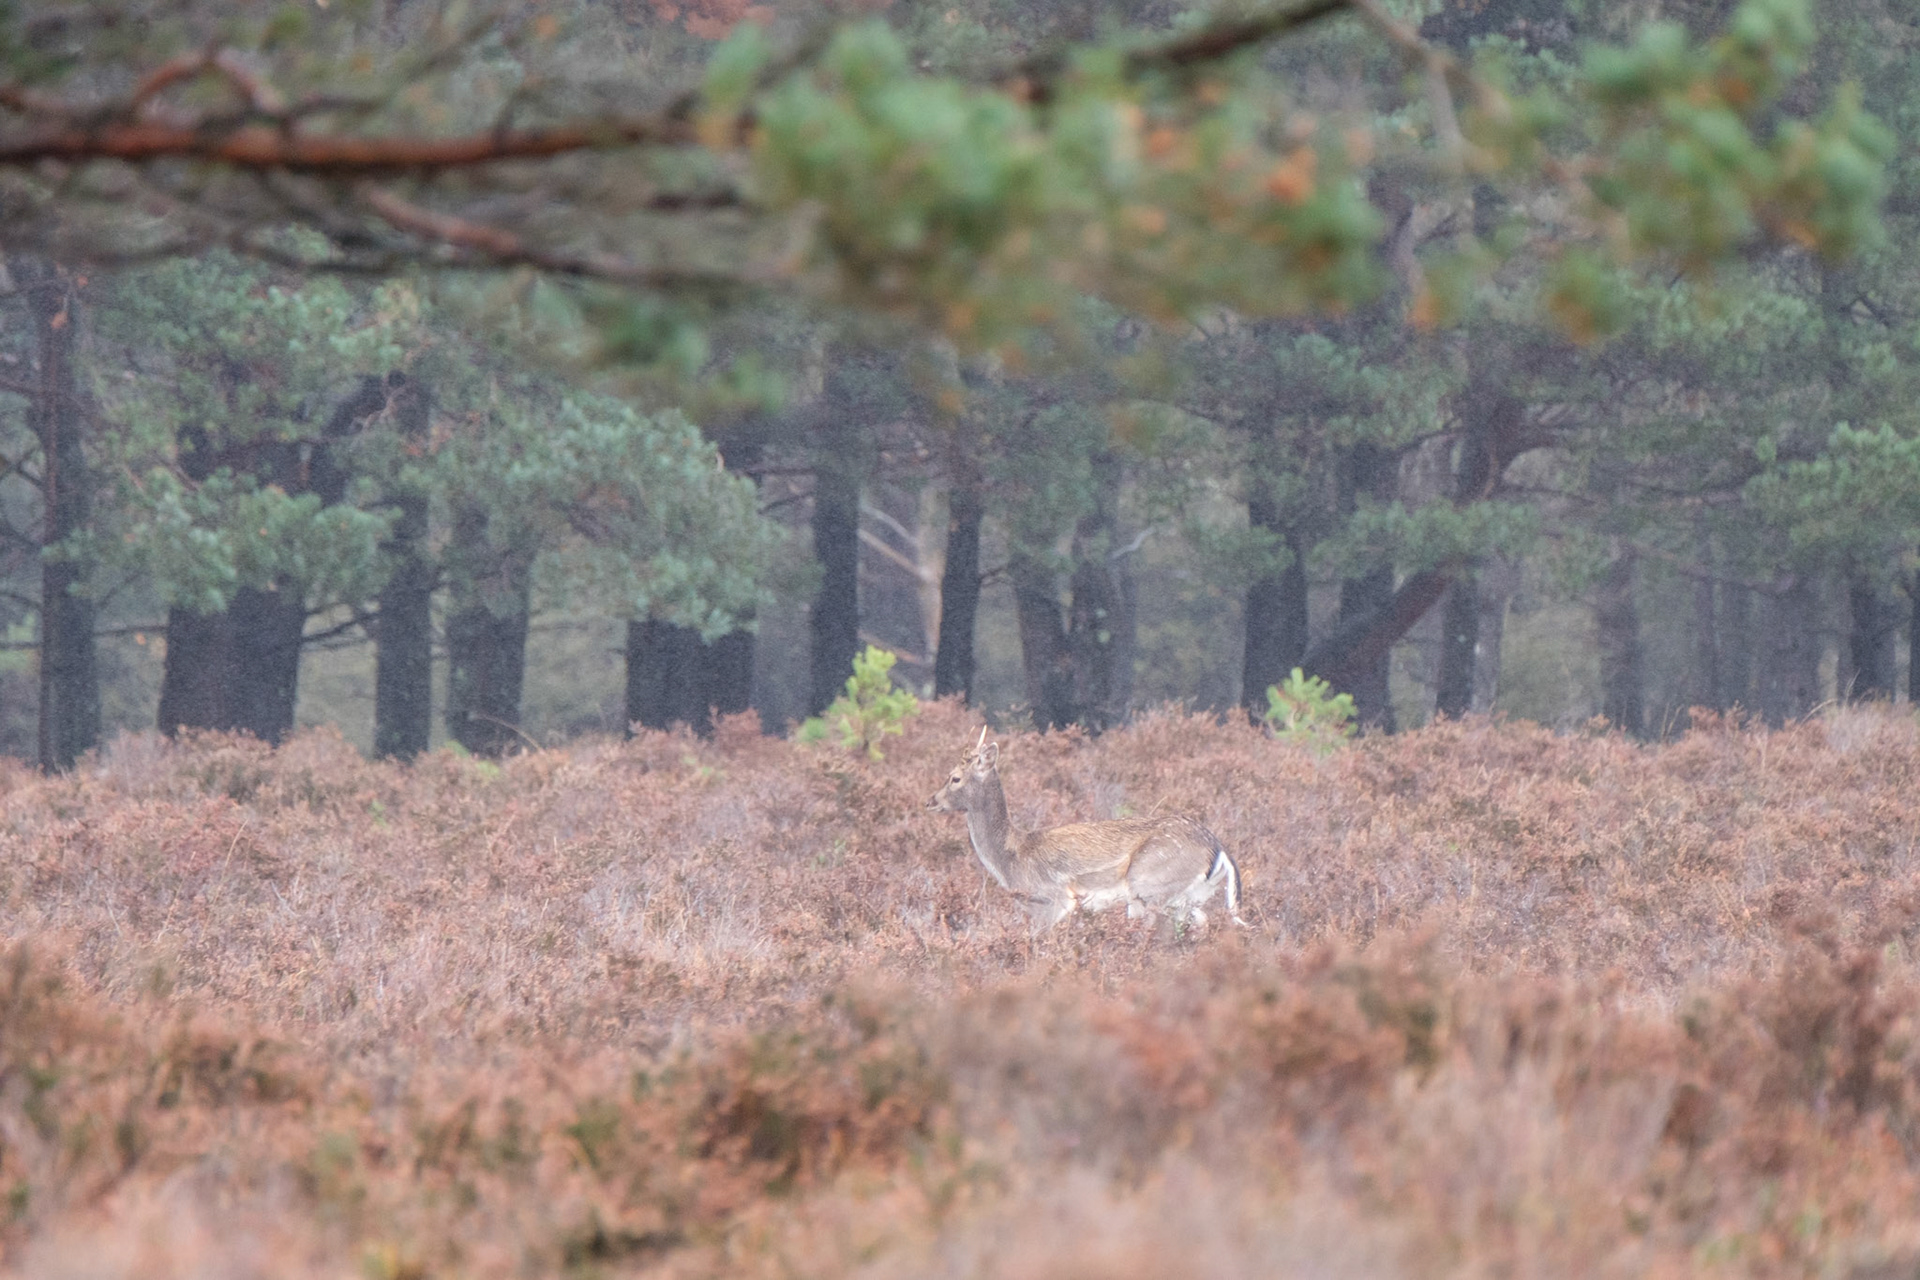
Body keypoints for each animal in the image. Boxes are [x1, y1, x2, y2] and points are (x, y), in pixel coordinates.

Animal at [927, 728, 1246, 935]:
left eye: (955, 778)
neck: (1011, 859)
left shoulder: (1055, 897)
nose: (930, 801)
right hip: (1191, 895)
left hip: (1149, 884)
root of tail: (1220, 849)